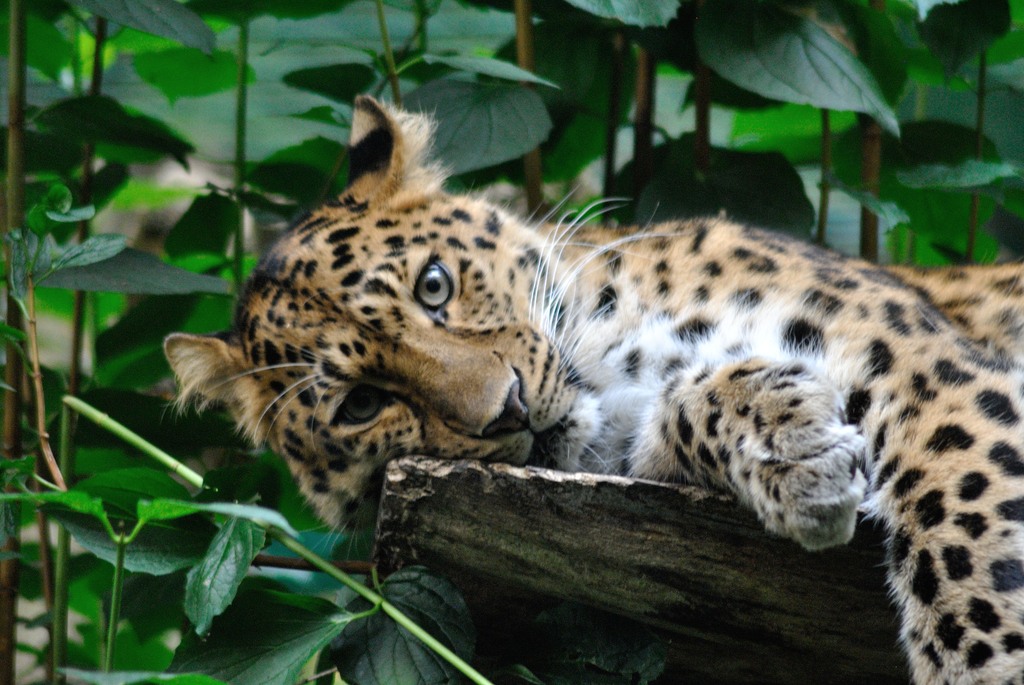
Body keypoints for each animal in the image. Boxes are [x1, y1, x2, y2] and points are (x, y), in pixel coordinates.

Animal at [165, 95, 1024, 684]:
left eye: (434, 285)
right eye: (361, 405)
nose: (506, 409)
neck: (619, 359)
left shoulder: (928, 367)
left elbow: (966, 528)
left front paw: (988, 664)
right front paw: (791, 443)